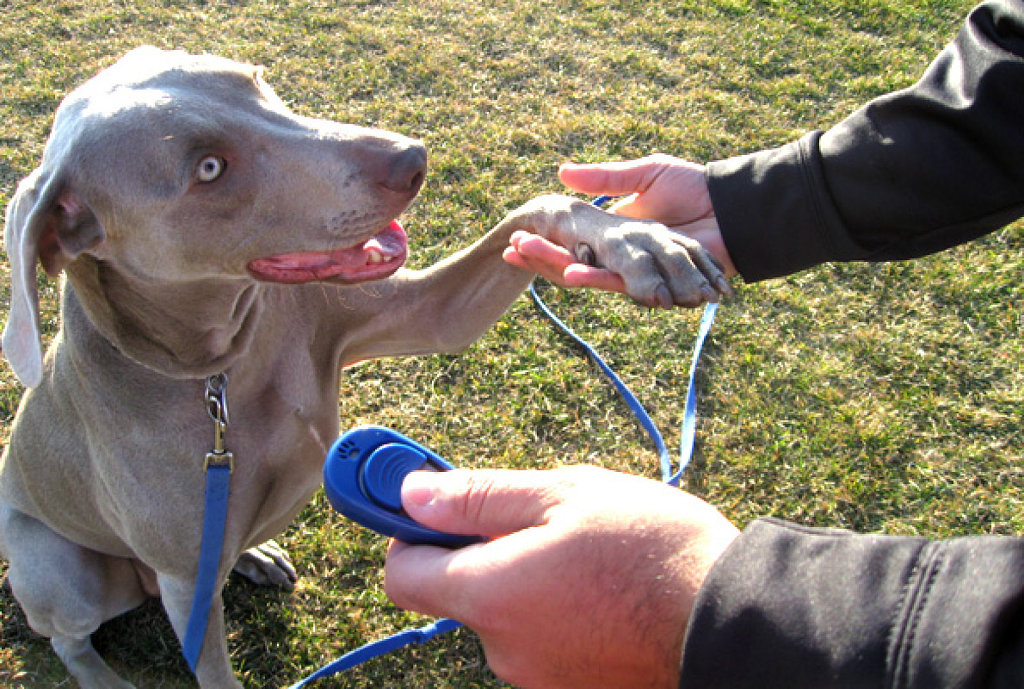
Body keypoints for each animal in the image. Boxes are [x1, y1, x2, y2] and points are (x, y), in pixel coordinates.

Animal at [0, 45, 729, 683]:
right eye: (209, 168)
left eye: (258, 82)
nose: (411, 157)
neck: (222, 365)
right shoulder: (184, 581)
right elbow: (212, 671)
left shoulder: (420, 312)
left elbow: (537, 209)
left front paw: (633, 238)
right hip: (61, 567)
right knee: (67, 636)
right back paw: (104, 676)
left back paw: (256, 553)